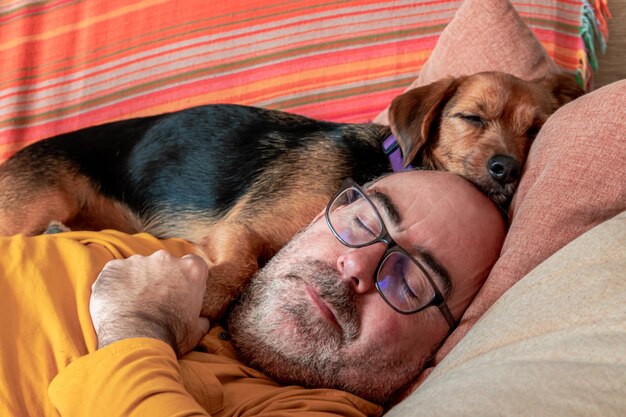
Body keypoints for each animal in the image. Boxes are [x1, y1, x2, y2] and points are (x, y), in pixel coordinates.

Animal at [0, 71, 584, 318]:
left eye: (535, 130)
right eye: (472, 118)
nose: (507, 169)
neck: (377, 168)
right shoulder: (243, 228)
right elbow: (237, 268)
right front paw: (200, 301)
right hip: (38, 200)